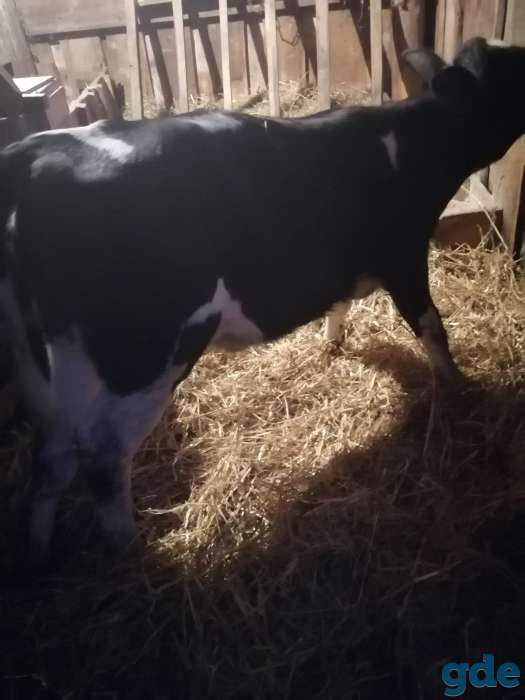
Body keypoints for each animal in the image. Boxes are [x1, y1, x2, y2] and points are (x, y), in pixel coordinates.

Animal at [0, 37, 524, 566]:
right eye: (509, 72)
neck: (416, 143)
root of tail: (32, 155)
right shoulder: (404, 254)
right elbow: (431, 325)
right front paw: (459, 385)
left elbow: (340, 303)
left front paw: (333, 344)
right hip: (149, 351)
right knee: (102, 453)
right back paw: (133, 551)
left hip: (58, 355)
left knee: (53, 452)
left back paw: (38, 550)